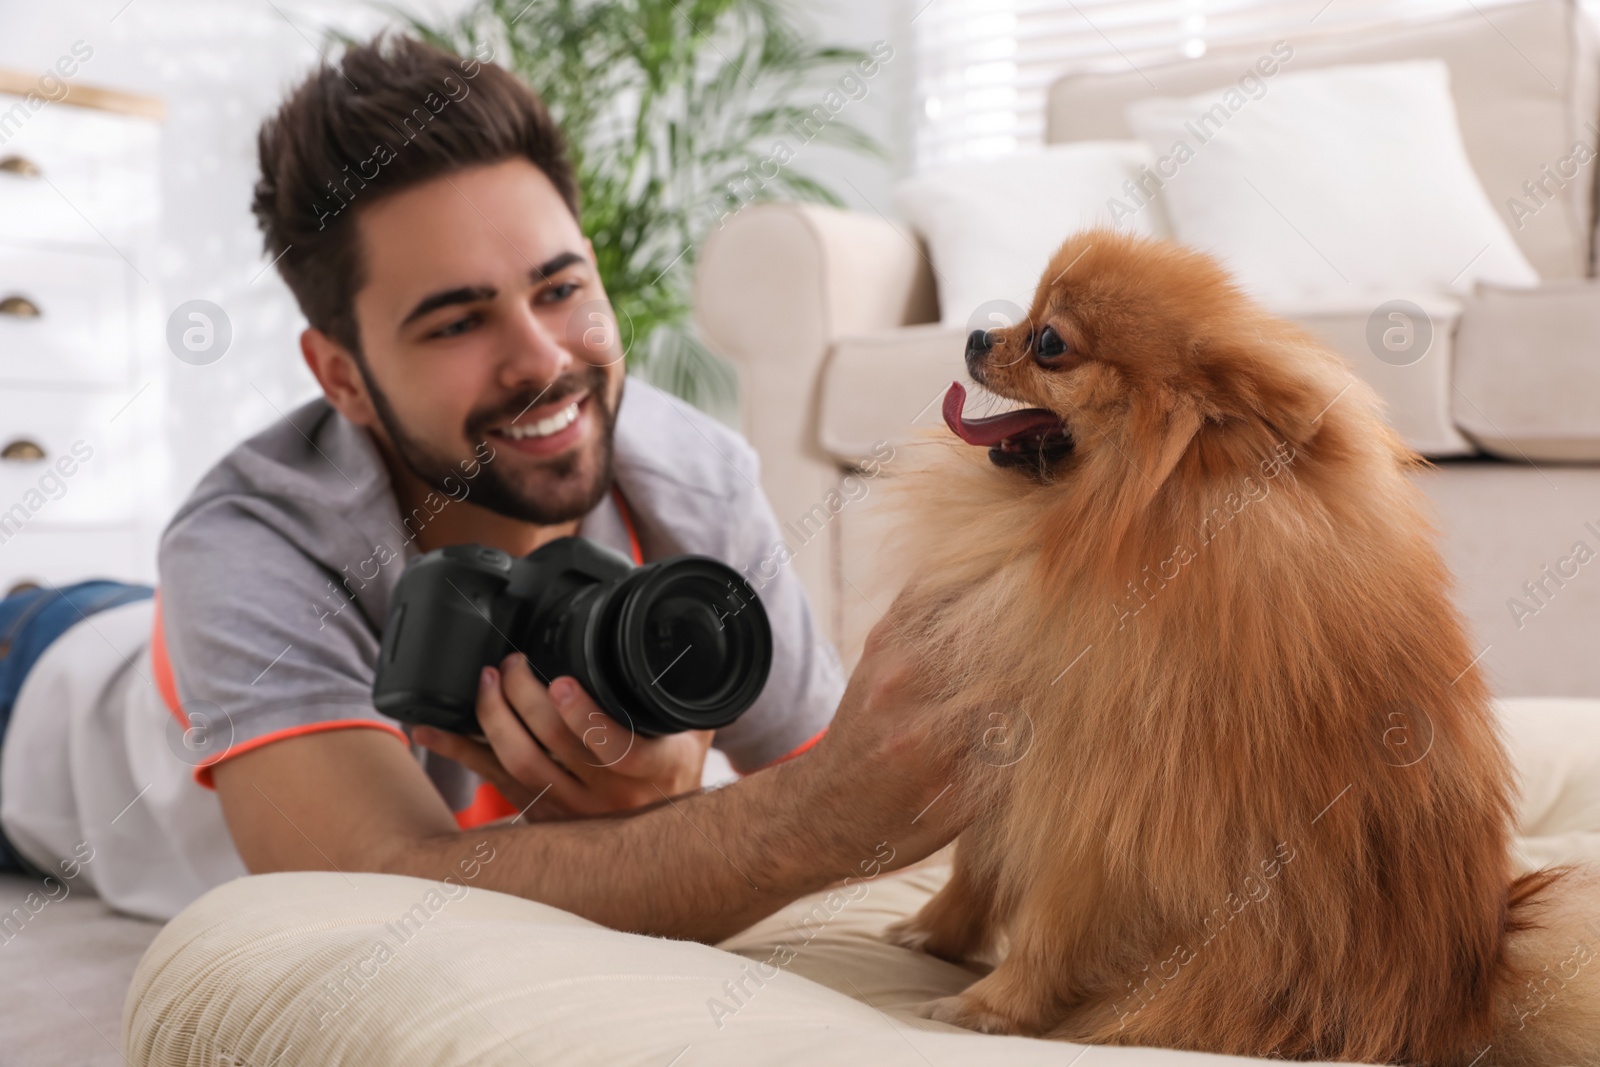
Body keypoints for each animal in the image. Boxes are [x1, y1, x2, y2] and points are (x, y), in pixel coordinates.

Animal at [889, 230, 1600, 1062]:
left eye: (1049, 342)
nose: (974, 334)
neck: (1121, 525)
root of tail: (1470, 998)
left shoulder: (1099, 796)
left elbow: (1049, 921)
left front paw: (990, 1007)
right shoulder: (1015, 744)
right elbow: (976, 862)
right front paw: (933, 930)